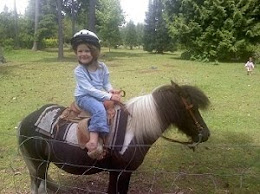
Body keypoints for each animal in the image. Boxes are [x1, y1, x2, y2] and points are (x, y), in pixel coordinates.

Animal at [17, 81, 210, 193]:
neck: (134, 131)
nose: (206, 134)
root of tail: (26, 119)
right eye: (192, 108)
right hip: (39, 164)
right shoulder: (121, 172)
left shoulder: (119, 172)